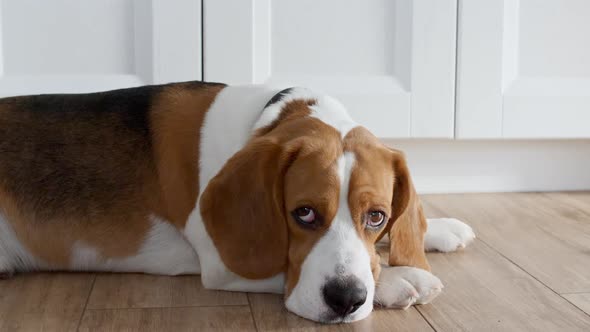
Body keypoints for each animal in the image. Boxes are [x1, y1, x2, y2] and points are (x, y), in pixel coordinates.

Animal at [0, 81, 474, 322]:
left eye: (376, 217)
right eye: (303, 213)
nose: (346, 300)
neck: (262, 120)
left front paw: (436, 229)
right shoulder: (224, 265)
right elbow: (286, 268)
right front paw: (398, 280)